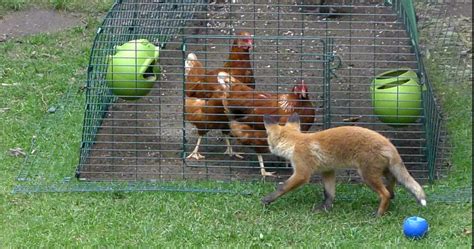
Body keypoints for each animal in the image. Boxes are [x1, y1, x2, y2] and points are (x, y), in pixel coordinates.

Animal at [262, 113, 428, 216]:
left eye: (267, 138)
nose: (267, 147)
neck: (295, 143)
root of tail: (389, 143)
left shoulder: (302, 173)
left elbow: (283, 187)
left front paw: (268, 199)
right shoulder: (328, 171)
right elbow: (329, 193)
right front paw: (325, 209)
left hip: (367, 175)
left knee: (385, 193)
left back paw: (378, 214)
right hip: (383, 170)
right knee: (393, 181)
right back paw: (390, 199)